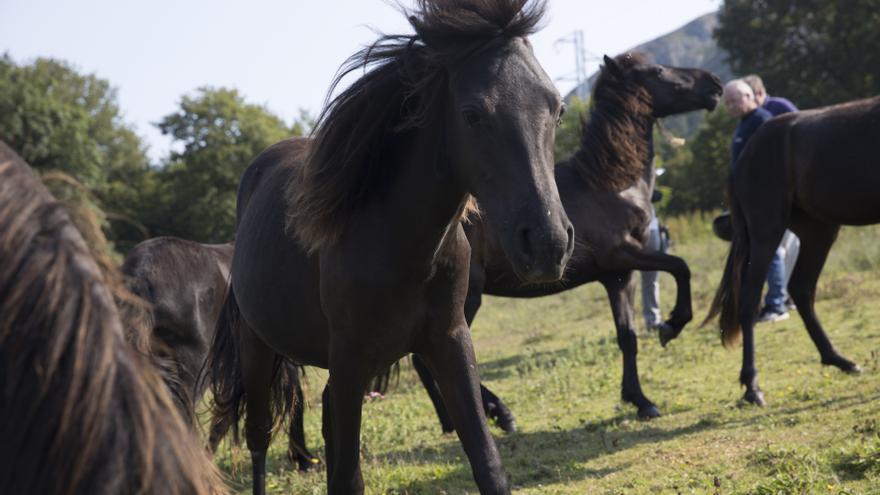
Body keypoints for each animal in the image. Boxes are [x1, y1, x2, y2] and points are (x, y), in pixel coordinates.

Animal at [209, 1, 576, 494]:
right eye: (472, 114)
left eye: (557, 108)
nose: (547, 244)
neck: (399, 246)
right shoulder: (349, 362)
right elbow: (346, 476)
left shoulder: (449, 340)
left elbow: (488, 464)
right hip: (258, 347)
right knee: (259, 437)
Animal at [412, 52, 720, 428]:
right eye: (659, 71)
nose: (713, 84)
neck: (608, 184)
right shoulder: (623, 254)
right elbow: (681, 267)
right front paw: (672, 326)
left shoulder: (619, 277)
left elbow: (628, 336)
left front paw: (640, 400)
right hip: (466, 295)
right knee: (432, 359)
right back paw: (500, 413)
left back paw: (453, 421)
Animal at [708, 94, 880, 406]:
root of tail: (743, 158)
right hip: (767, 232)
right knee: (751, 298)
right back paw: (752, 387)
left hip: (818, 230)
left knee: (802, 288)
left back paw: (839, 360)